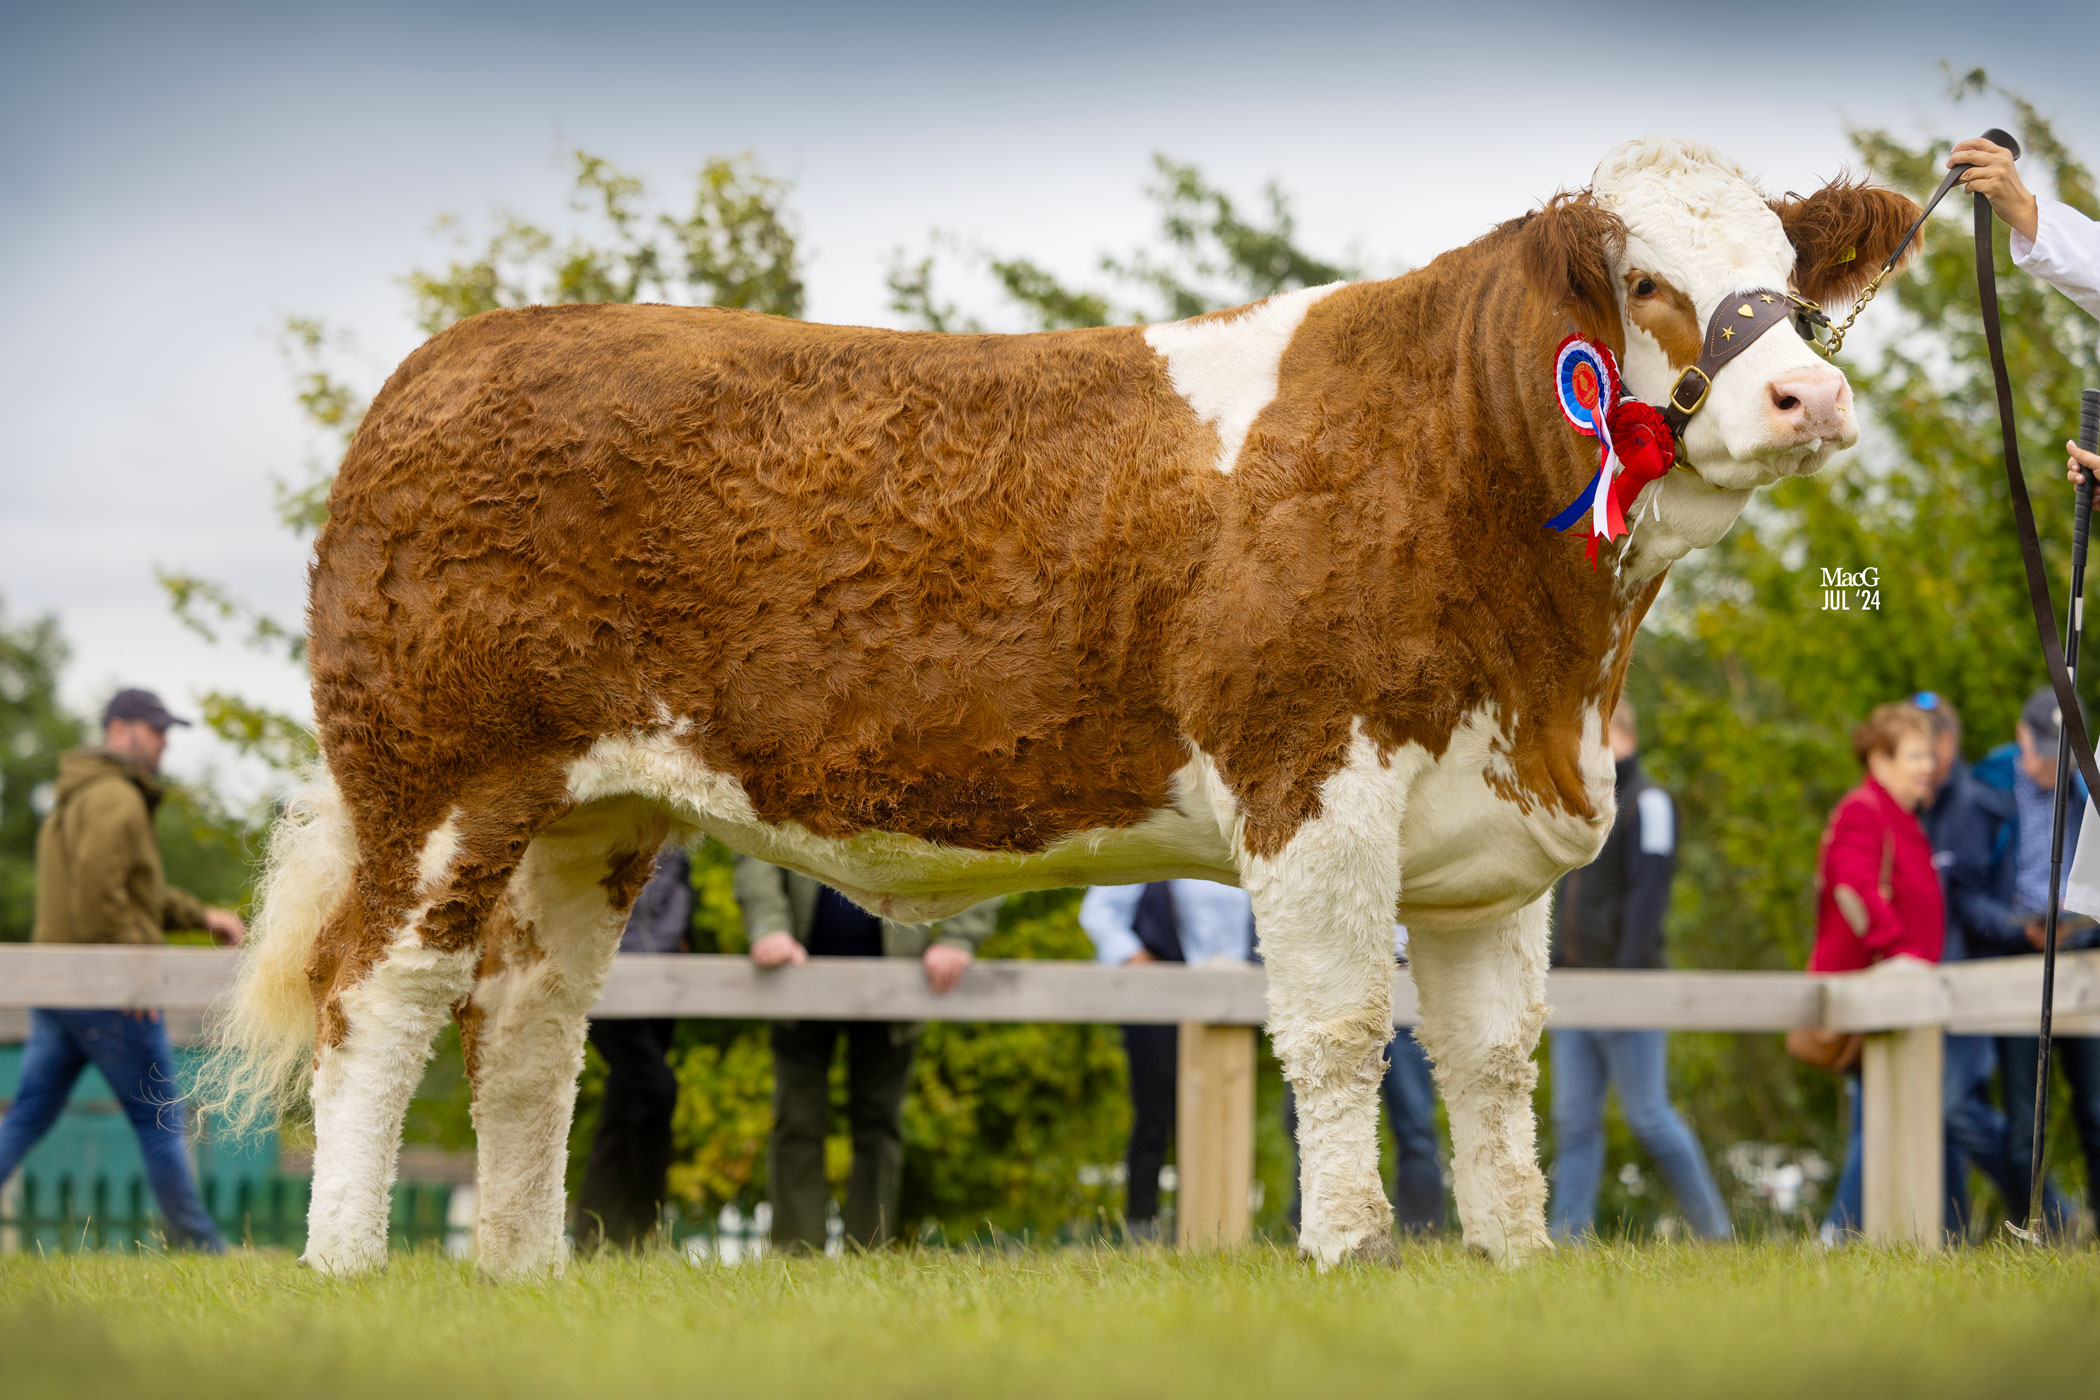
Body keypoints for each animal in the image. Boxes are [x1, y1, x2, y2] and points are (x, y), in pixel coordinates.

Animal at [208, 136, 1923, 1276]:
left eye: (1788, 274)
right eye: (1646, 281)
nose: (1811, 395)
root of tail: (451, 364)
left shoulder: (1490, 831)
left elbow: (1496, 1063)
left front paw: (1513, 1267)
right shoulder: (1311, 776)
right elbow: (1341, 1030)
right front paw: (1351, 1252)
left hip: (592, 813)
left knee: (528, 1033)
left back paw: (522, 1270)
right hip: (436, 785)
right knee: (380, 1001)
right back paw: (349, 1265)